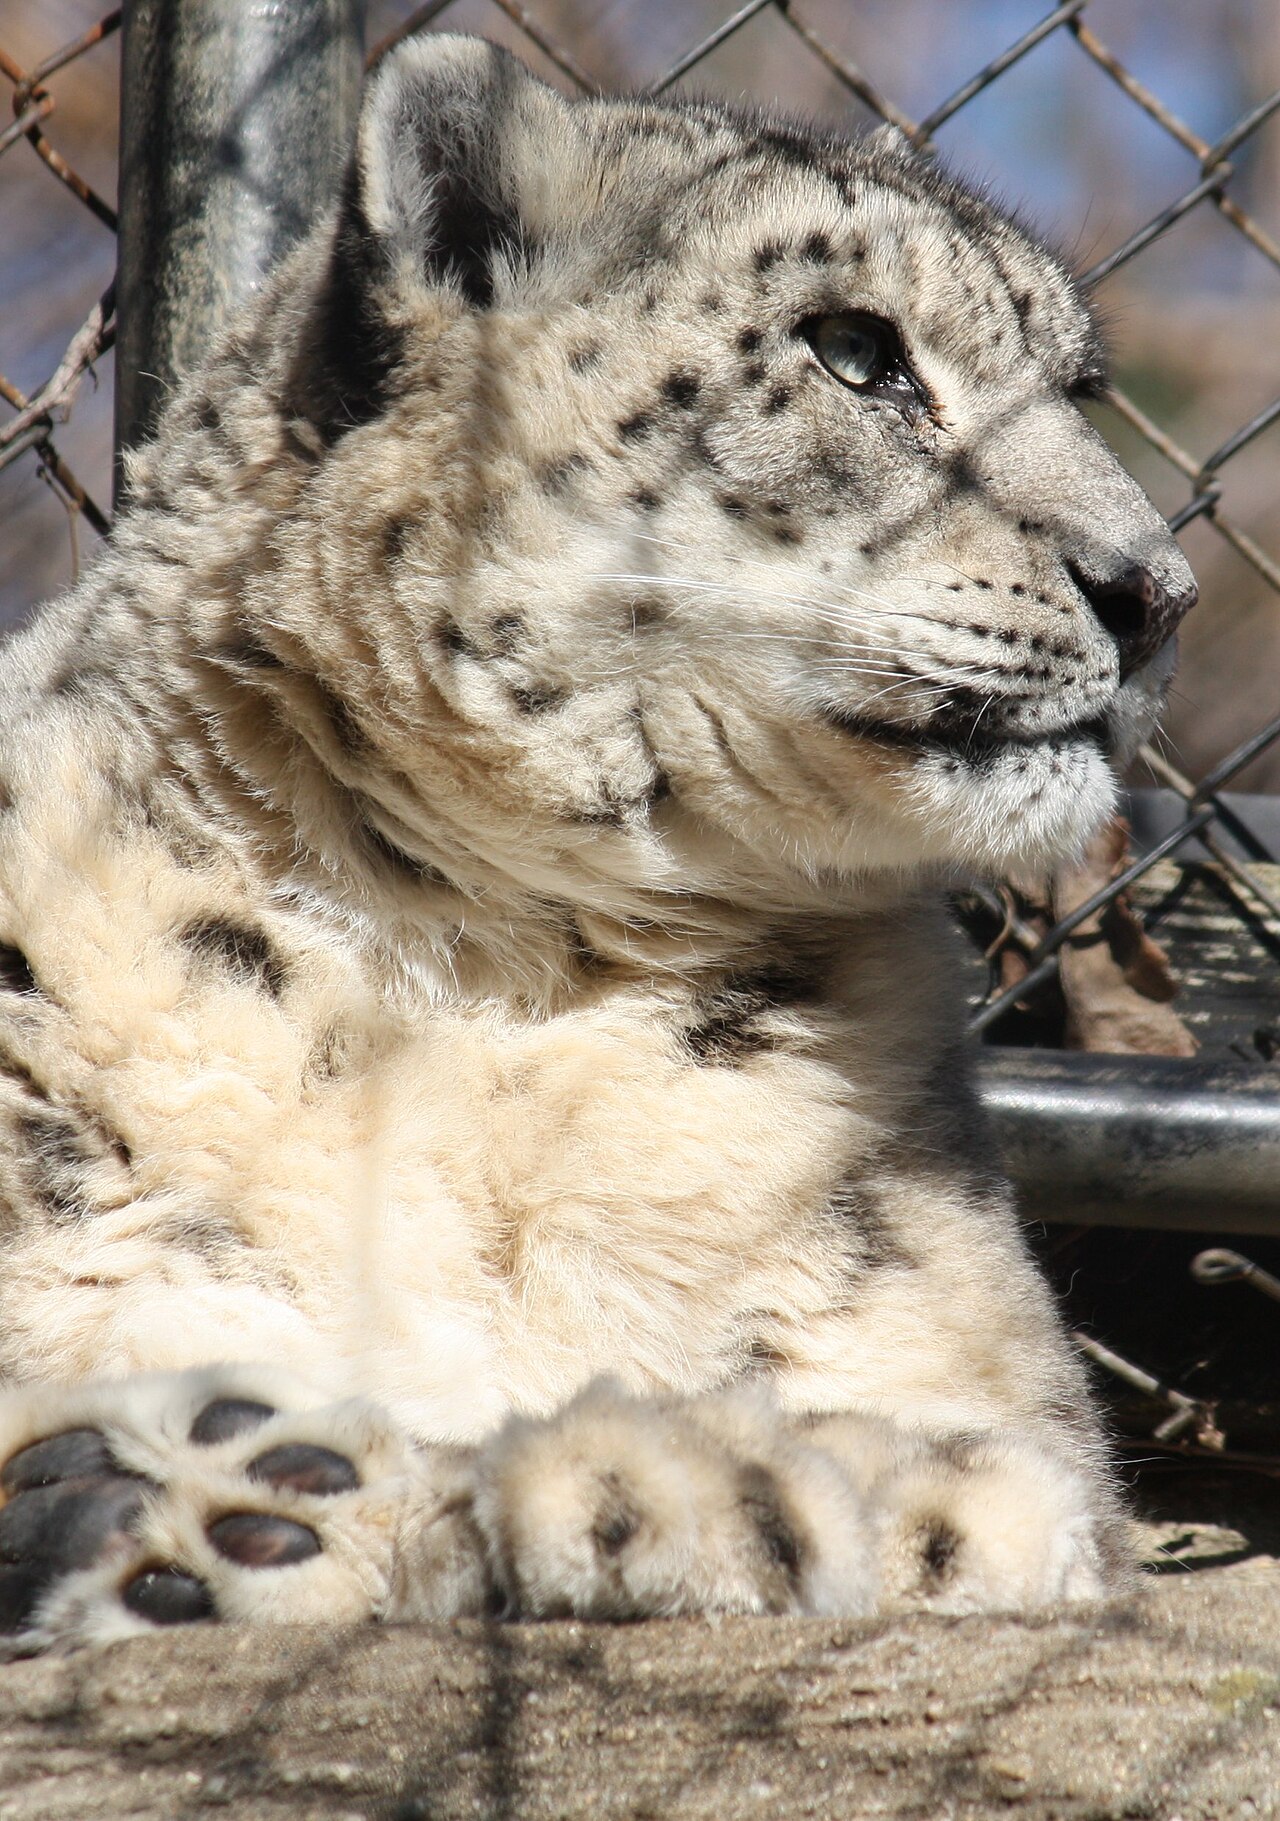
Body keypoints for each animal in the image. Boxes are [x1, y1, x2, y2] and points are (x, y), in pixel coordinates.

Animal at [0, 34, 1196, 1651]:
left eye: (1080, 387)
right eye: (854, 352)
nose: (1157, 591)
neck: (490, 968)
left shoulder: (943, 1344)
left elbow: (998, 1475)